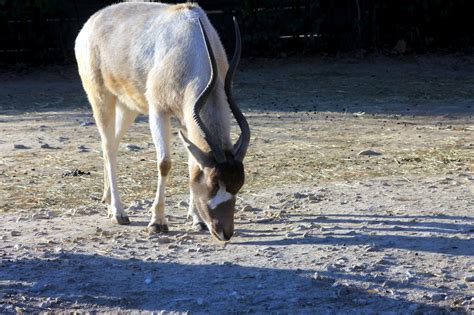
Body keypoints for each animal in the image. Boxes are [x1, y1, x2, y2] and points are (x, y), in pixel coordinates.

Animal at [74, 1, 250, 242]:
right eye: (214, 182)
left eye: (239, 184)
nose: (225, 232)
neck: (193, 43)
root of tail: (92, 21)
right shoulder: (158, 110)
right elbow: (164, 163)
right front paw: (157, 222)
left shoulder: (186, 117)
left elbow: (192, 162)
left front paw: (196, 220)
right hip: (101, 97)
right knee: (108, 146)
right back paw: (118, 212)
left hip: (128, 106)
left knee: (112, 144)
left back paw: (108, 201)